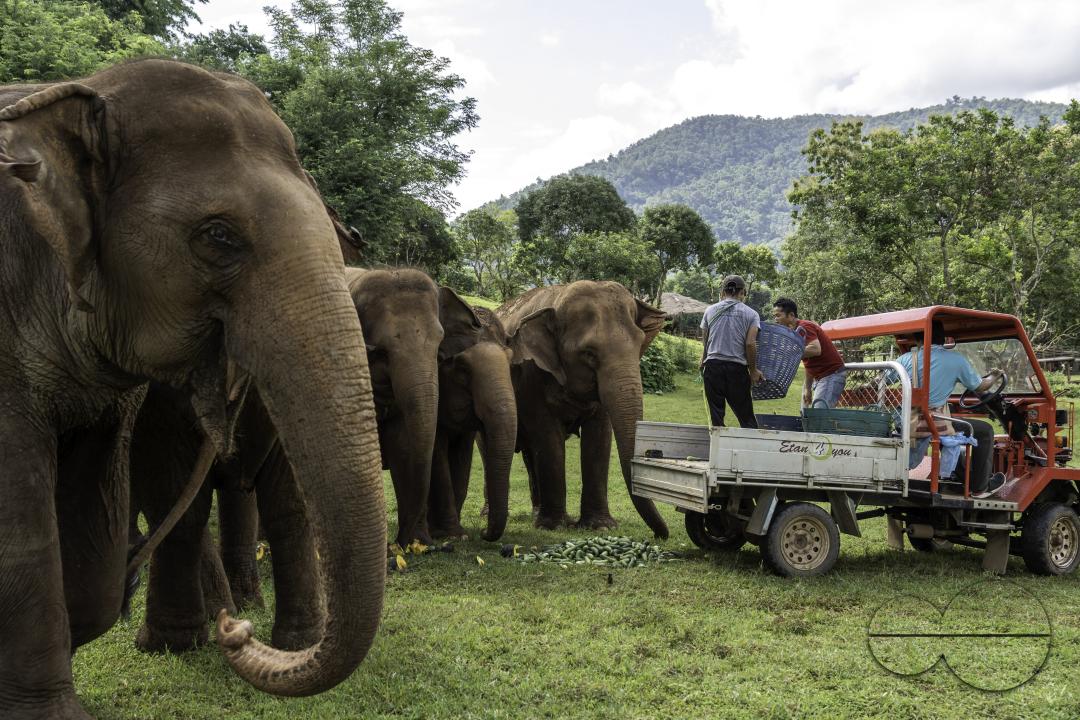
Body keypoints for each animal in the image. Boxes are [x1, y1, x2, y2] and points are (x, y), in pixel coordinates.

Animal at [427, 303, 517, 541]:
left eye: (511, 362)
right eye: (462, 369)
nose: (484, 531)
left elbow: (462, 457)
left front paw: (453, 533)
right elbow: (437, 453)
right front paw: (453, 535)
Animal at [498, 281, 668, 537]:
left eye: (639, 345)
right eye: (589, 353)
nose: (660, 535)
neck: (557, 298)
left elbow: (599, 436)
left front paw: (600, 526)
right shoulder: (532, 376)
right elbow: (548, 437)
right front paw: (554, 527)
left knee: (529, 454)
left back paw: (538, 515)